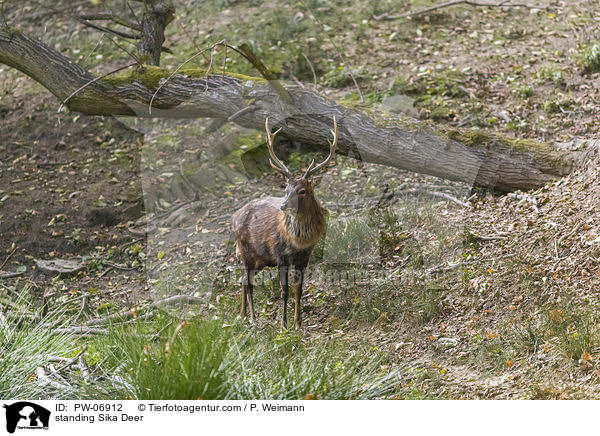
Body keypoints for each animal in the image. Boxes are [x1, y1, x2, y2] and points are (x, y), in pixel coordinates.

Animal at [232, 117, 338, 328]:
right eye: (286, 189)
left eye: (302, 190)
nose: (283, 205)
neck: (299, 241)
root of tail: (234, 217)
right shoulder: (280, 255)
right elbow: (284, 290)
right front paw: (284, 324)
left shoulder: (304, 258)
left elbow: (298, 290)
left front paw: (298, 323)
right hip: (246, 251)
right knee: (248, 282)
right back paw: (253, 317)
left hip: (259, 258)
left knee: (243, 280)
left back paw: (242, 314)